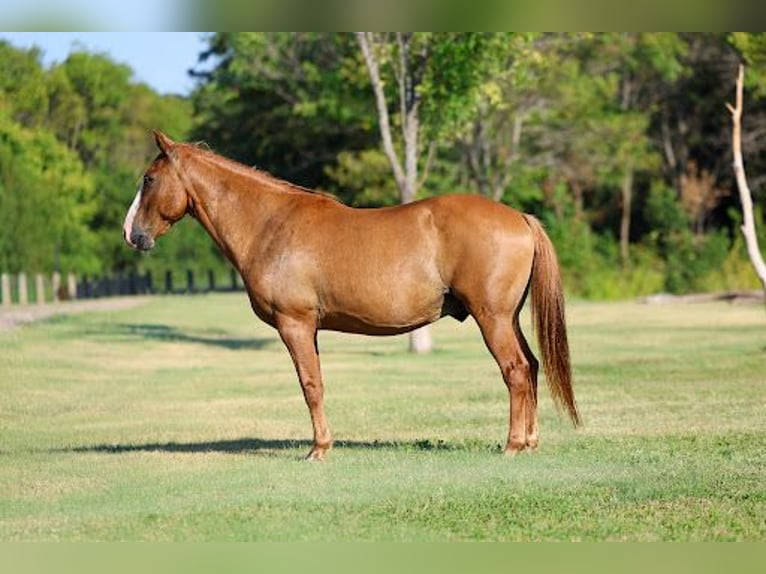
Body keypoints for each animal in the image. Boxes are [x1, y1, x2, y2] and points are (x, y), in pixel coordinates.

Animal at [123, 130, 580, 461]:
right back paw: (531, 441)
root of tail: (519, 217)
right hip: (509, 318)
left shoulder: (295, 325)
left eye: (148, 179)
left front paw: (319, 450)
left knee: (516, 371)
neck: (270, 224)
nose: (132, 234)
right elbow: (318, 383)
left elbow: (310, 385)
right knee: (532, 367)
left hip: (493, 318)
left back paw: (513, 445)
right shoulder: (310, 329)